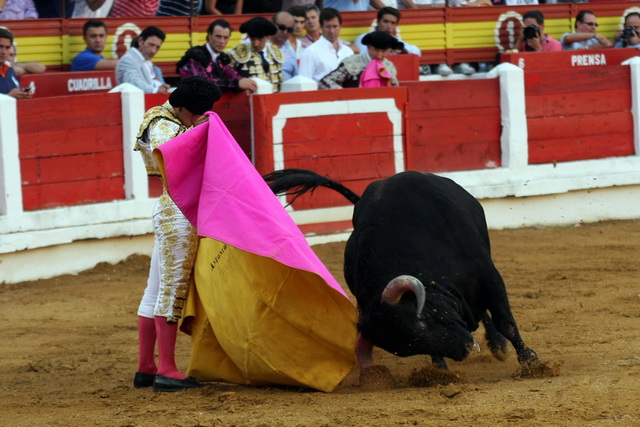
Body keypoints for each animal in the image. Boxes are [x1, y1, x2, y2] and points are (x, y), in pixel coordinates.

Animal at [264, 170, 540, 372]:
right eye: (409, 347)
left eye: (422, 321)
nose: (464, 348)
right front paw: (440, 372)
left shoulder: (487, 273)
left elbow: (506, 322)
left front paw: (531, 361)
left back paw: (500, 346)